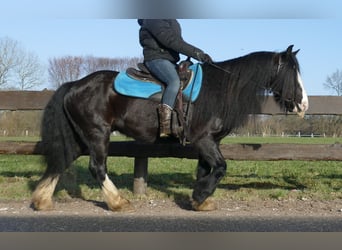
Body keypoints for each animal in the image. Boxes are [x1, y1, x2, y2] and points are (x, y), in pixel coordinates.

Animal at [32, 45, 310, 211]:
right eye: (291, 72)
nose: (303, 104)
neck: (219, 89)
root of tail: (74, 85)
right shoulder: (204, 139)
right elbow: (221, 168)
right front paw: (200, 196)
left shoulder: (209, 142)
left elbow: (205, 169)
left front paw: (200, 200)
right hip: (98, 134)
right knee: (97, 167)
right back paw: (118, 201)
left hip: (81, 137)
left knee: (62, 160)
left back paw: (42, 200)